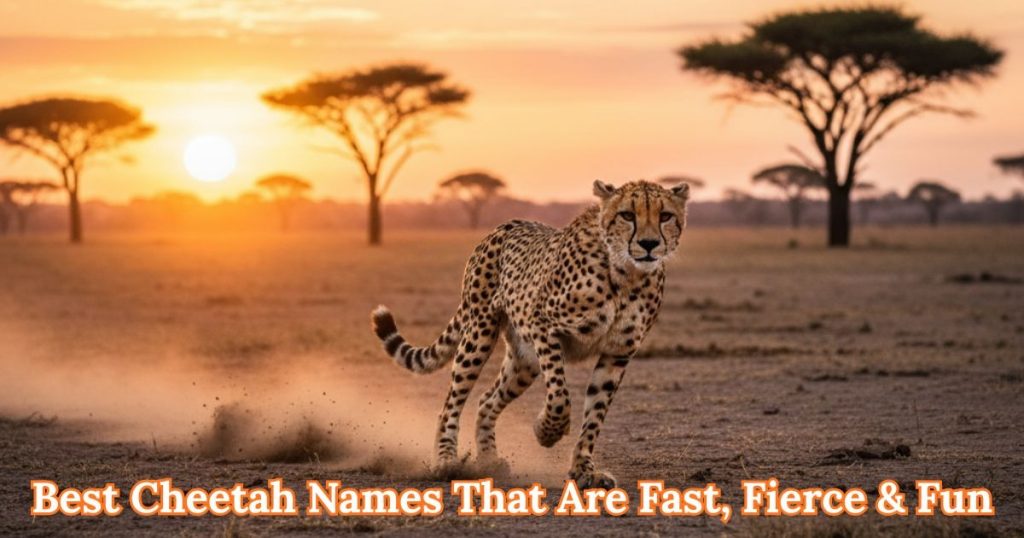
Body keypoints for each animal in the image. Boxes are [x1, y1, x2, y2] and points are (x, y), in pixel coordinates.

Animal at [371, 179, 690, 488]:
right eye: (627, 215)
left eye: (665, 216)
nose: (649, 244)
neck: (625, 274)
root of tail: (503, 226)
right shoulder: (544, 326)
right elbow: (560, 396)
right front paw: (546, 431)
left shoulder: (618, 353)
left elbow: (595, 415)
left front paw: (584, 470)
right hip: (480, 333)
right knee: (452, 402)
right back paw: (447, 461)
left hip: (524, 360)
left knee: (487, 400)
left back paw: (489, 460)